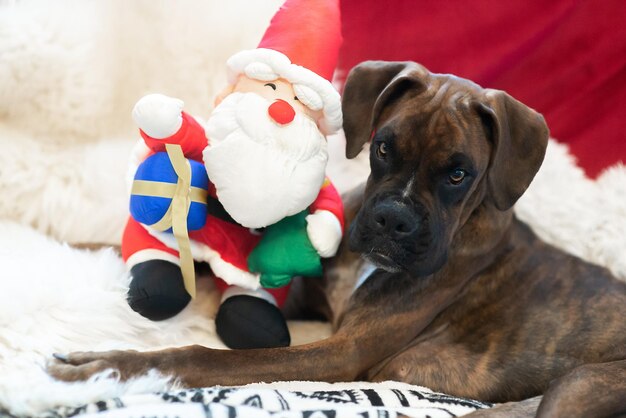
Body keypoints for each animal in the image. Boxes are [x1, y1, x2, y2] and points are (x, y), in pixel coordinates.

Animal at [50, 62, 624, 418]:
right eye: (384, 147)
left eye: (459, 174)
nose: (393, 220)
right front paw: (60, 244)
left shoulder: (338, 355)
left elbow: (204, 358)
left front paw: (102, 370)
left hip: (580, 384)